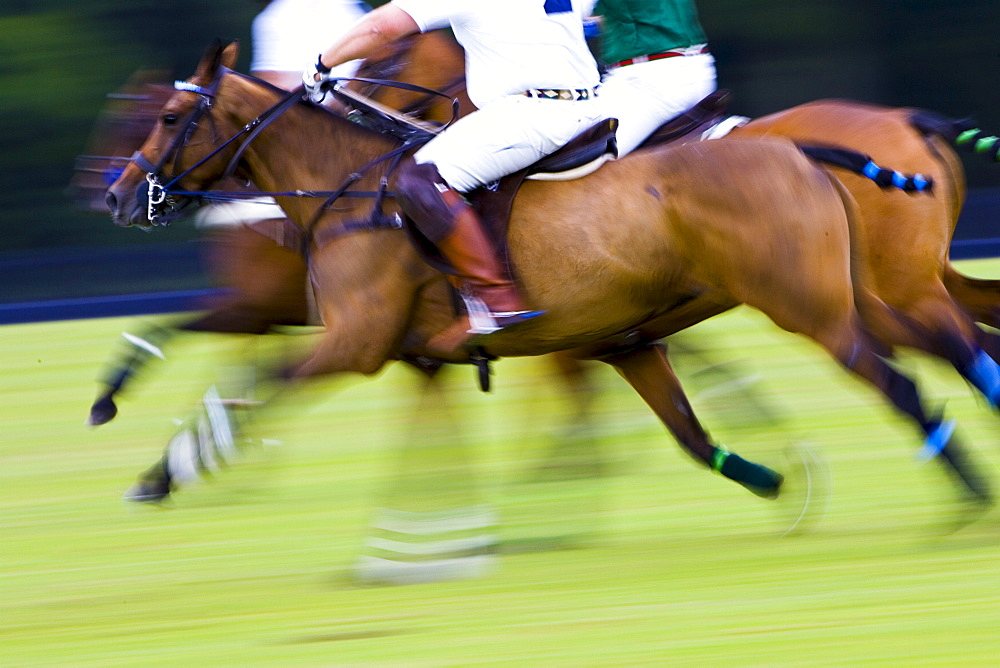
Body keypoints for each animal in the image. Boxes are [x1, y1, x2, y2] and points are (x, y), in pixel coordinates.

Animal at [105, 41, 988, 506]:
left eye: (172, 117)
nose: (118, 196)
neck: (349, 188)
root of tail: (800, 147)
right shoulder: (621, 341)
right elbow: (691, 433)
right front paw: (778, 480)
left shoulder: (355, 341)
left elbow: (253, 390)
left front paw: (160, 473)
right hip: (859, 290)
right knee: (955, 345)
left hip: (820, 301)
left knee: (908, 372)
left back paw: (969, 493)